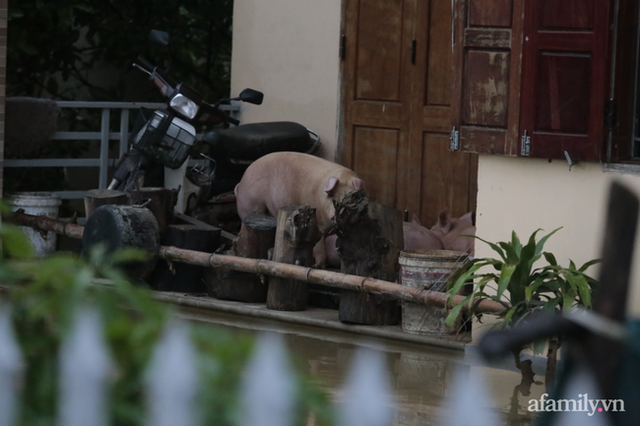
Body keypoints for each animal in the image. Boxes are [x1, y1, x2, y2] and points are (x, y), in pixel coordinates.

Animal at [235, 152, 364, 266]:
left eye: (352, 197)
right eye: (332, 195)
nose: (336, 214)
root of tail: (240, 183)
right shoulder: (319, 224)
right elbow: (320, 250)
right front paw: (317, 265)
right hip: (251, 203)